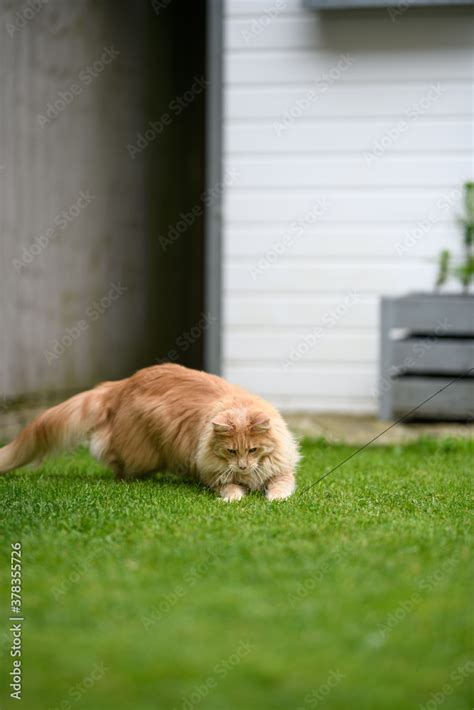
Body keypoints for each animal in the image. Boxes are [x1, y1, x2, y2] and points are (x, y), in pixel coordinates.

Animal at [0, 368, 300, 500]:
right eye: (231, 451)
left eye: (253, 450)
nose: (242, 465)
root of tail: (122, 383)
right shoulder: (213, 476)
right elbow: (230, 488)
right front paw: (234, 498)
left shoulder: (281, 471)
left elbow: (280, 485)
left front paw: (274, 498)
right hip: (144, 455)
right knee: (112, 458)